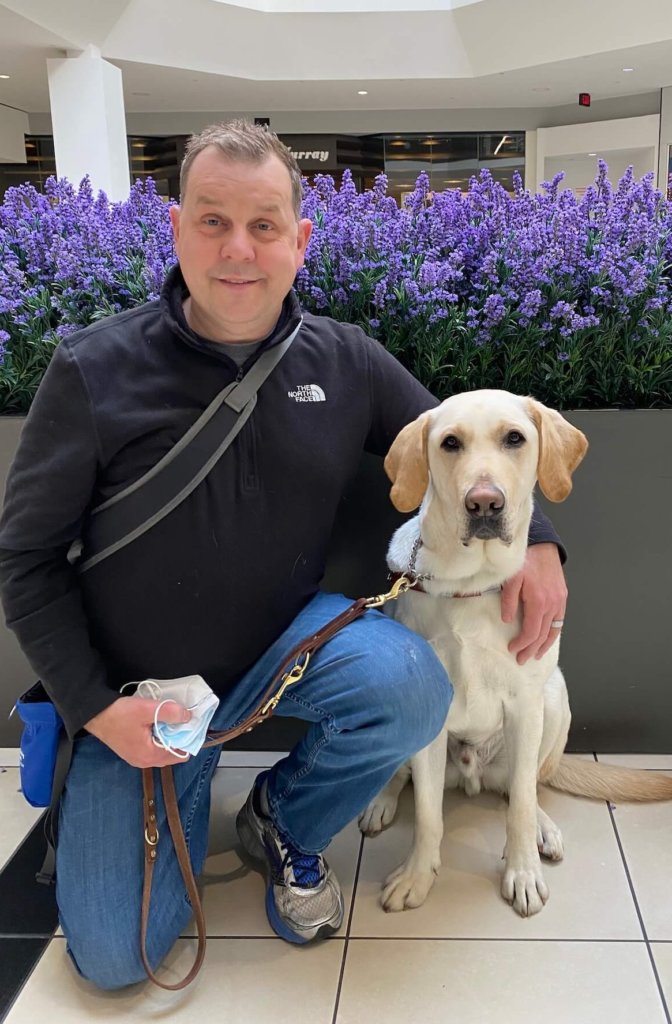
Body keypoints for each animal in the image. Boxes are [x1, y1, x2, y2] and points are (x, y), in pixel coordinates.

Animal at [360, 391, 672, 921]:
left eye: (514, 438)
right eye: (450, 443)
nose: (484, 502)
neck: (471, 583)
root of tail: (472, 774)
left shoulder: (526, 705)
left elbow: (522, 803)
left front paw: (523, 872)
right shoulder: (431, 713)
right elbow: (427, 813)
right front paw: (418, 876)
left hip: (554, 700)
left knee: (524, 787)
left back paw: (542, 827)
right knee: (403, 774)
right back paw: (380, 800)